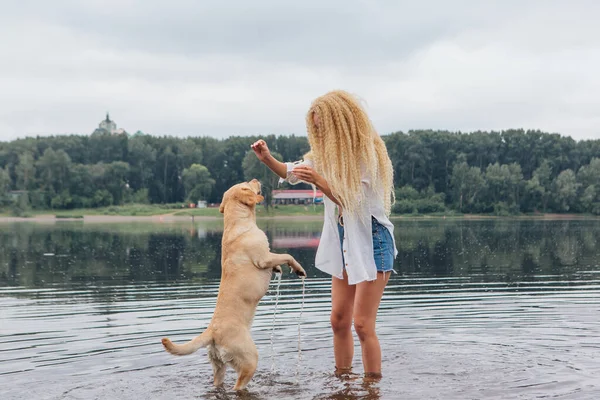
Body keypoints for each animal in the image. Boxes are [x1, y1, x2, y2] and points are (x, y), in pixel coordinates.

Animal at [161, 179, 304, 390]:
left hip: (218, 366)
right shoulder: (263, 257)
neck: (237, 222)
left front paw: (278, 269)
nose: (255, 179)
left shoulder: (267, 257)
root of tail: (212, 331)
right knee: (239, 384)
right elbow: (287, 255)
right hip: (249, 359)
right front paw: (298, 269)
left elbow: (279, 260)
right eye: (246, 184)